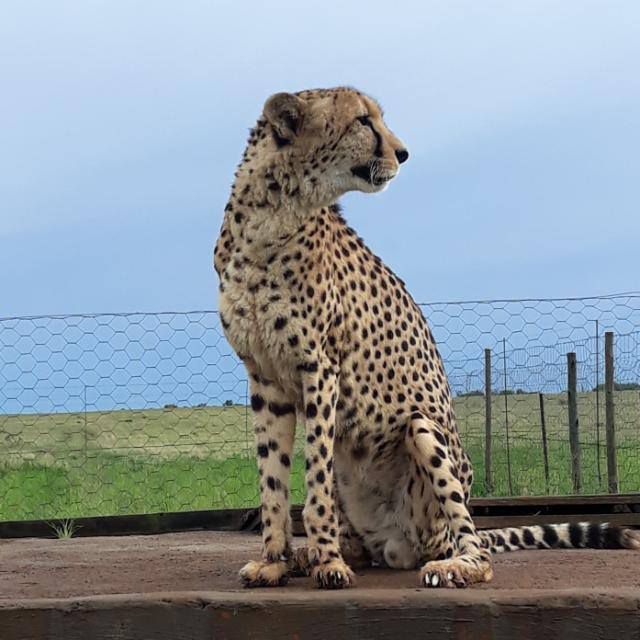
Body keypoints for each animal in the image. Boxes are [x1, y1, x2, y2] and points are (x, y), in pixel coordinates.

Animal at [215, 87, 640, 588]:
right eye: (362, 121)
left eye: (376, 118)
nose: (403, 152)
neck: (270, 218)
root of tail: (396, 546)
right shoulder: (266, 379)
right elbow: (273, 482)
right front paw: (275, 560)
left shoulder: (320, 368)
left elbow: (314, 476)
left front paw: (328, 563)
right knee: (367, 541)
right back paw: (322, 553)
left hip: (424, 434)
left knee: (476, 549)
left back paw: (447, 566)